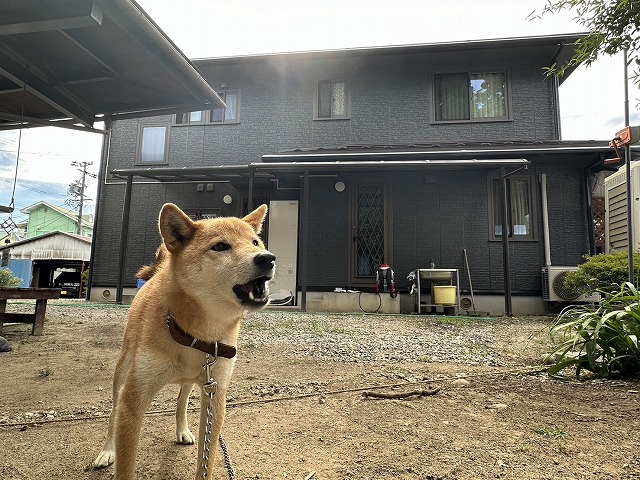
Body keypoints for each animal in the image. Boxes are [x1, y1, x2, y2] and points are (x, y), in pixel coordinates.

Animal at [94, 203, 274, 480]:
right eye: (220, 246)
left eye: (255, 242)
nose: (267, 258)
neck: (197, 333)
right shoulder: (132, 401)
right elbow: (125, 465)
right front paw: (113, 454)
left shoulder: (215, 395)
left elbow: (206, 461)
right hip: (123, 367)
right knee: (113, 411)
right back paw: (106, 452)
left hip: (195, 380)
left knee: (182, 399)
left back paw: (182, 430)